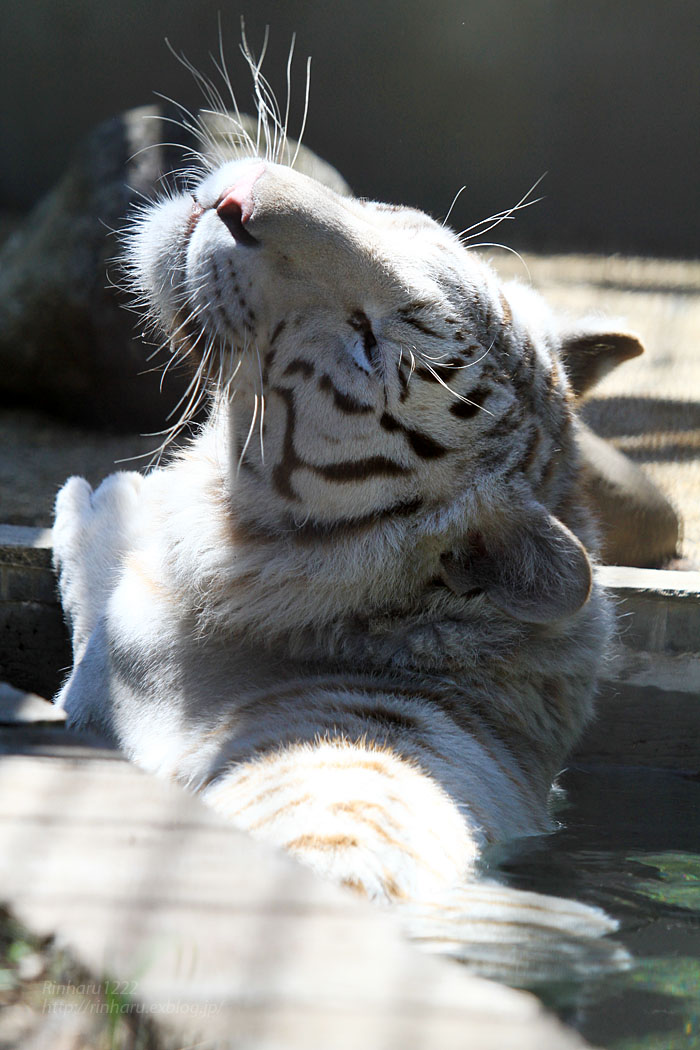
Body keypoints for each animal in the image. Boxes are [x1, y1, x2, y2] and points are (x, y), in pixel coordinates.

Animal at [51, 76, 638, 982]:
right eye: (410, 233)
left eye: (368, 344)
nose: (237, 199)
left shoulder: (107, 667)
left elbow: (93, 561)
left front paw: (101, 492)